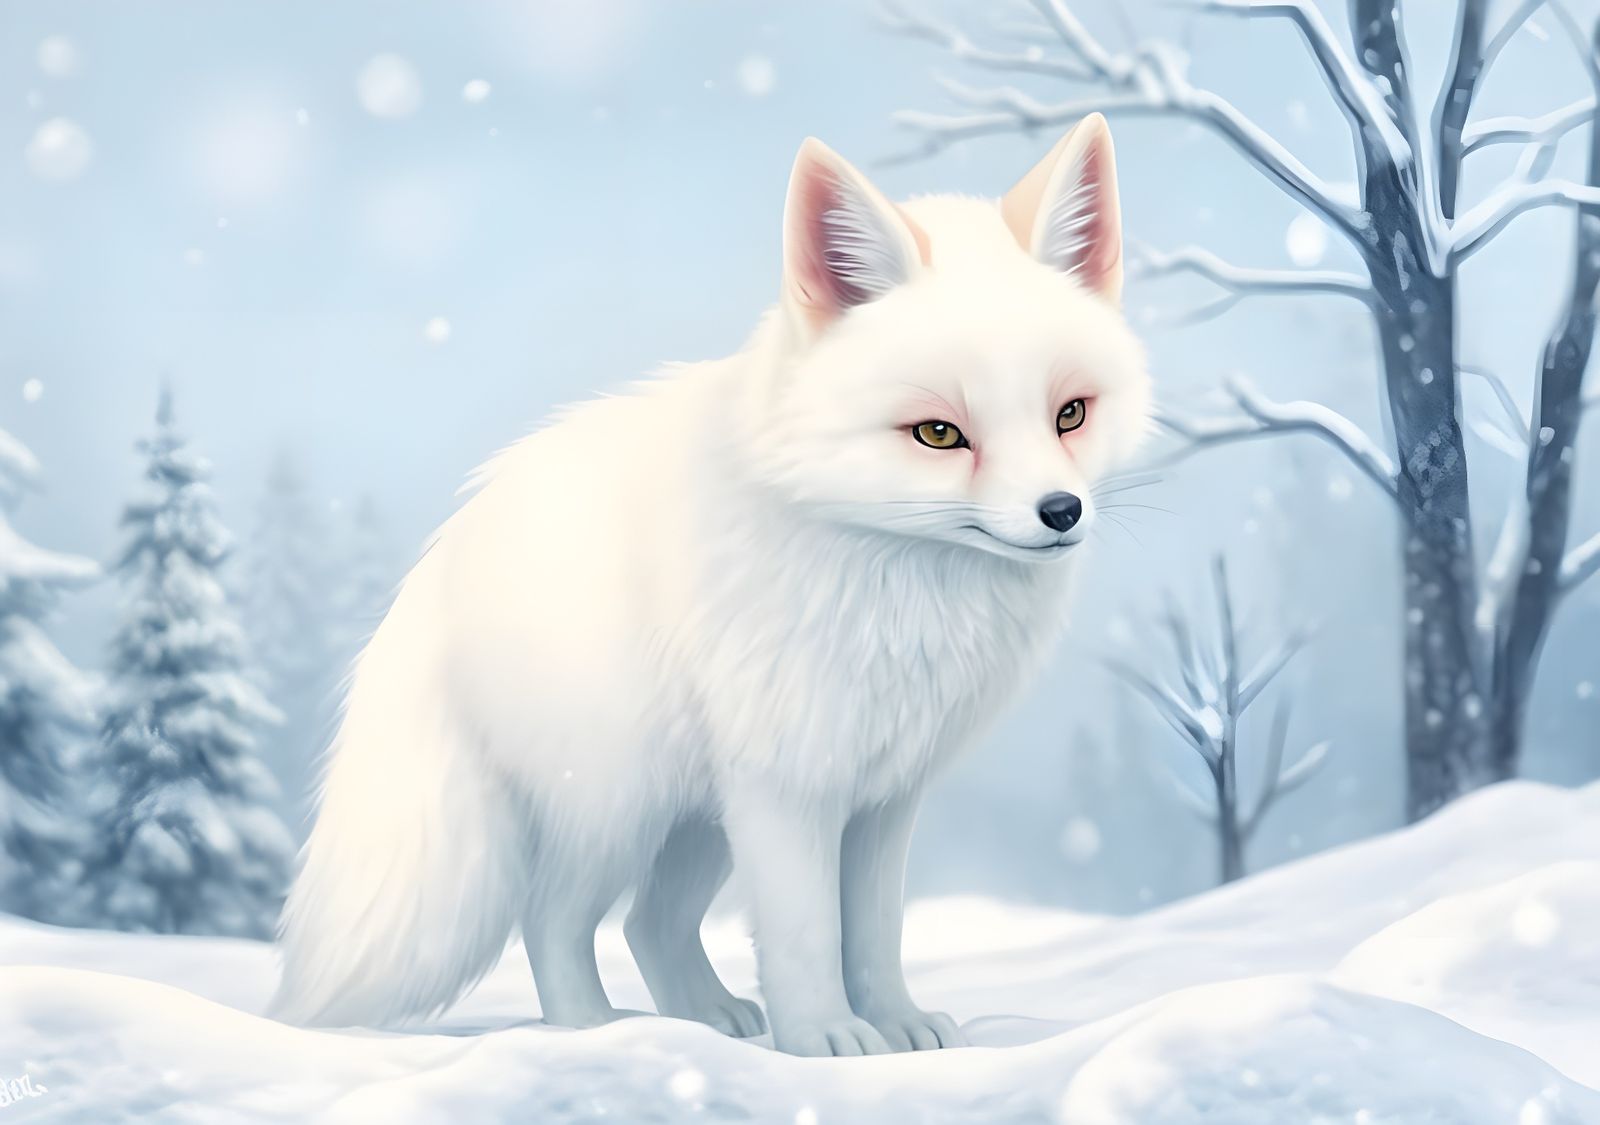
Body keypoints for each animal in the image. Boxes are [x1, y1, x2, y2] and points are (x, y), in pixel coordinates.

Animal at [273, 113, 1151, 1057]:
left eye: (1070, 414)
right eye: (939, 433)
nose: (1060, 511)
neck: (896, 581)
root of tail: (448, 548)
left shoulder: (884, 795)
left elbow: (875, 931)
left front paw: (896, 1024)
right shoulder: (788, 785)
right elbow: (806, 931)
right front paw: (825, 1040)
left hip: (695, 826)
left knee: (647, 923)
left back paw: (706, 1016)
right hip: (623, 809)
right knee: (552, 918)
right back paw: (593, 1031)